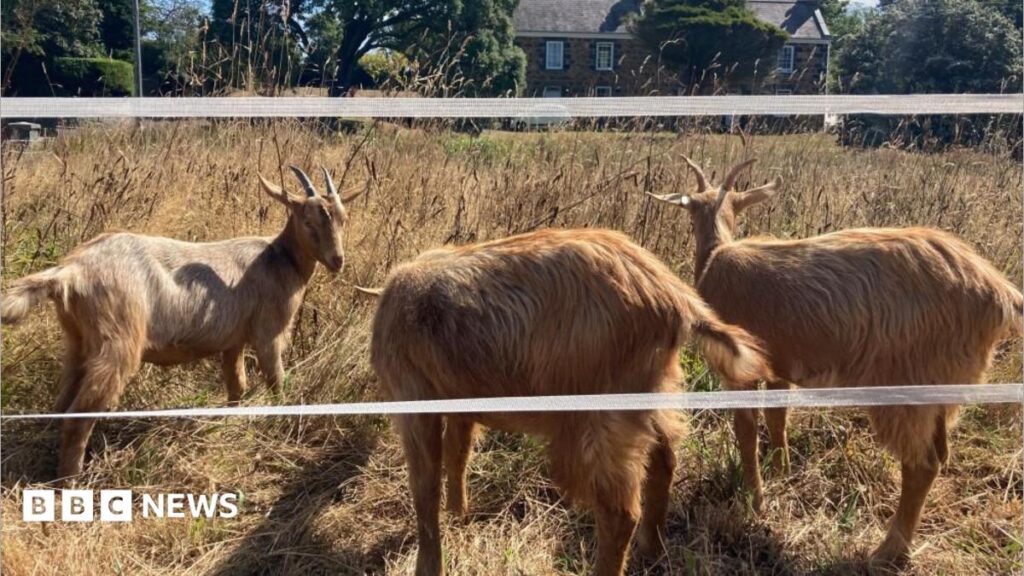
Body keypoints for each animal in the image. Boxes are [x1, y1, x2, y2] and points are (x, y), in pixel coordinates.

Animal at [1, 166, 360, 480]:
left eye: (343, 219)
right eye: (307, 220)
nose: (337, 261)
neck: (279, 258)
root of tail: (71, 271)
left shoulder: (233, 340)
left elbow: (237, 386)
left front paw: (230, 423)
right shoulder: (268, 332)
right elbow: (276, 381)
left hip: (77, 339)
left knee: (63, 402)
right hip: (118, 340)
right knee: (82, 412)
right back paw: (71, 481)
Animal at [368, 228, 773, 576]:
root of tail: (675, 298)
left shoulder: (413, 396)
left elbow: (425, 486)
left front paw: (429, 565)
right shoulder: (459, 400)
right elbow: (458, 453)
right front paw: (458, 516)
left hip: (599, 412)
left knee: (620, 510)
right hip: (655, 389)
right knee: (664, 459)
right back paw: (652, 552)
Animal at [647, 157, 1023, 565]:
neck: (716, 255)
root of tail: (1000, 293)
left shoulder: (739, 371)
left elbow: (746, 432)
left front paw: (755, 500)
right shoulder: (780, 365)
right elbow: (777, 418)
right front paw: (780, 470)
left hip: (906, 383)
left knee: (921, 464)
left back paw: (887, 552)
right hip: (942, 389)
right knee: (939, 452)